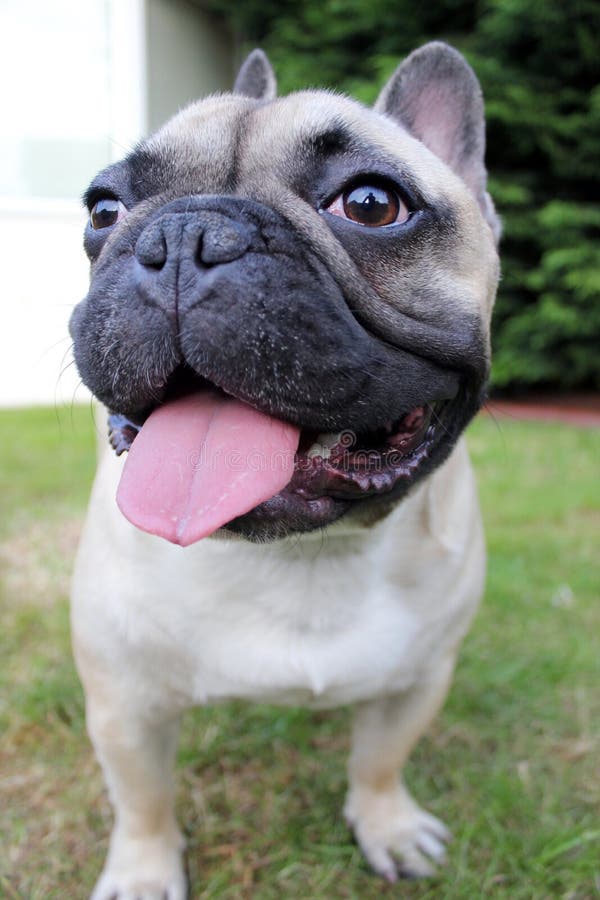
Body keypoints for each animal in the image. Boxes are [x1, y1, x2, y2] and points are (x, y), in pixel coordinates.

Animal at [69, 44, 502, 900]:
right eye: (102, 211)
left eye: (371, 204)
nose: (185, 234)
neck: (306, 556)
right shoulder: (123, 703)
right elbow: (141, 797)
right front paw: (143, 871)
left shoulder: (419, 680)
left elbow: (380, 760)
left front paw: (387, 827)